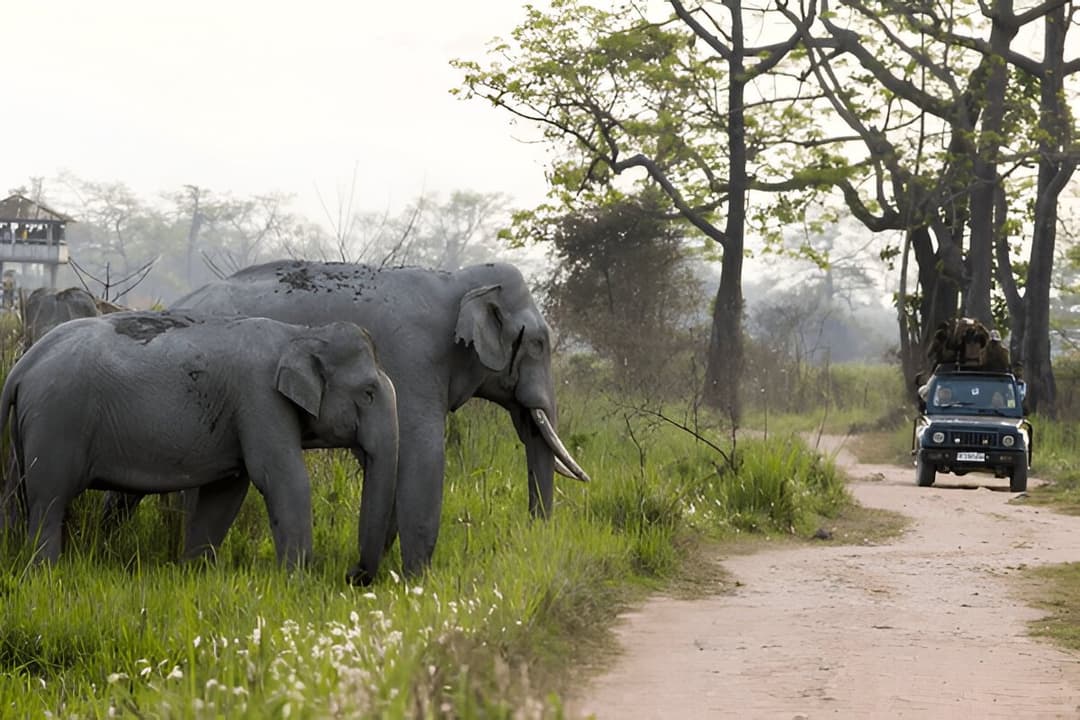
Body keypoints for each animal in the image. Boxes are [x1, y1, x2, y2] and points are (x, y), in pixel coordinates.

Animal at [0, 310, 398, 581]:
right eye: (368, 392)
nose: (353, 576)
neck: (302, 333)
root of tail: (22, 366)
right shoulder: (260, 399)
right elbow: (280, 477)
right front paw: (296, 582)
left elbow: (227, 490)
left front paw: (194, 573)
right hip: (57, 421)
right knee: (49, 500)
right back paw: (44, 573)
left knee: (26, 496)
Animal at [148, 260, 590, 578]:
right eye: (539, 344)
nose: (534, 540)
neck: (457, 280)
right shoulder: (414, 360)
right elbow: (421, 453)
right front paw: (416, 581)